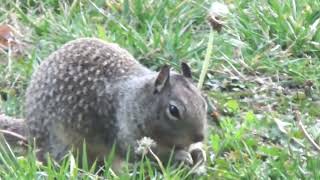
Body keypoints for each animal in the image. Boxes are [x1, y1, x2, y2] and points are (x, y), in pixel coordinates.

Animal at [5, 38, 208, 170]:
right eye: (174, 110)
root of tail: (28, 129)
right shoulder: (124, 133)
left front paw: (198, 154)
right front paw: (179, 156)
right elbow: (143, 153)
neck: (134, 100)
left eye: (204, 102)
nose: (200, 136)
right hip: (63, 146)